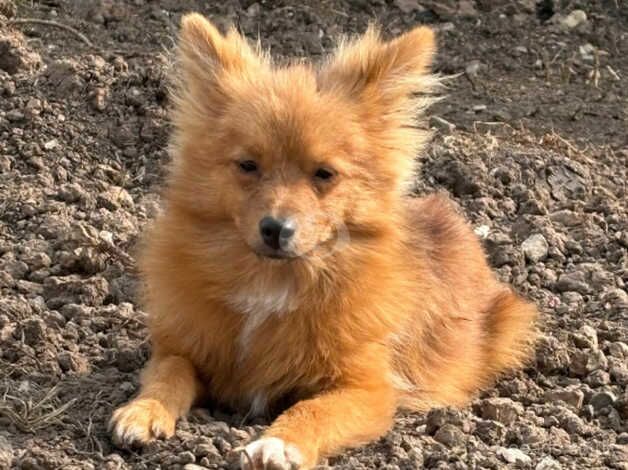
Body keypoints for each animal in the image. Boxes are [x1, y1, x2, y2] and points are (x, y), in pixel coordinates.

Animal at [109, 12, 540, 468]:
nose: (275, 228)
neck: (274, 283)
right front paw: (143, 410)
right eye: (248, 165)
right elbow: (168, 373)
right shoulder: (179, 348)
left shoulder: (366, 390)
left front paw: (279, 443)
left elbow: (313, 408)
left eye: (324, 173)